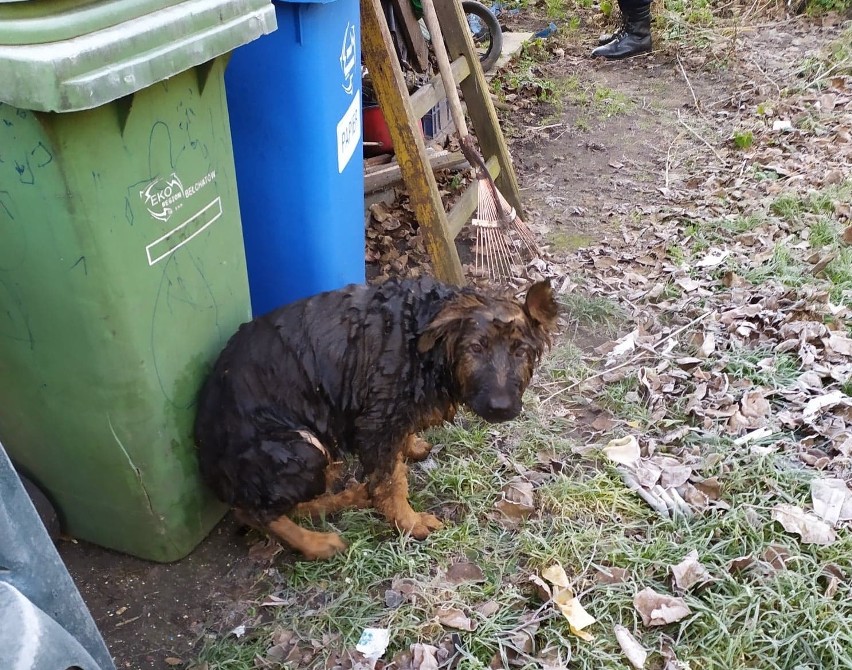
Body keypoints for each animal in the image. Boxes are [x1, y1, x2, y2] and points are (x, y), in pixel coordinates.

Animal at [195, 278, 560, 560]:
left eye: (520, 351)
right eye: (475, 348)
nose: (501, 407)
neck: (424, 341)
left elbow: (398, 455)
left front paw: (411, 446)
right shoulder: (377, 424)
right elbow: (391, 481)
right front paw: (410, 523)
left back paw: (350, 497)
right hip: (298, 448)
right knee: (254, 510)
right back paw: (316, 543)